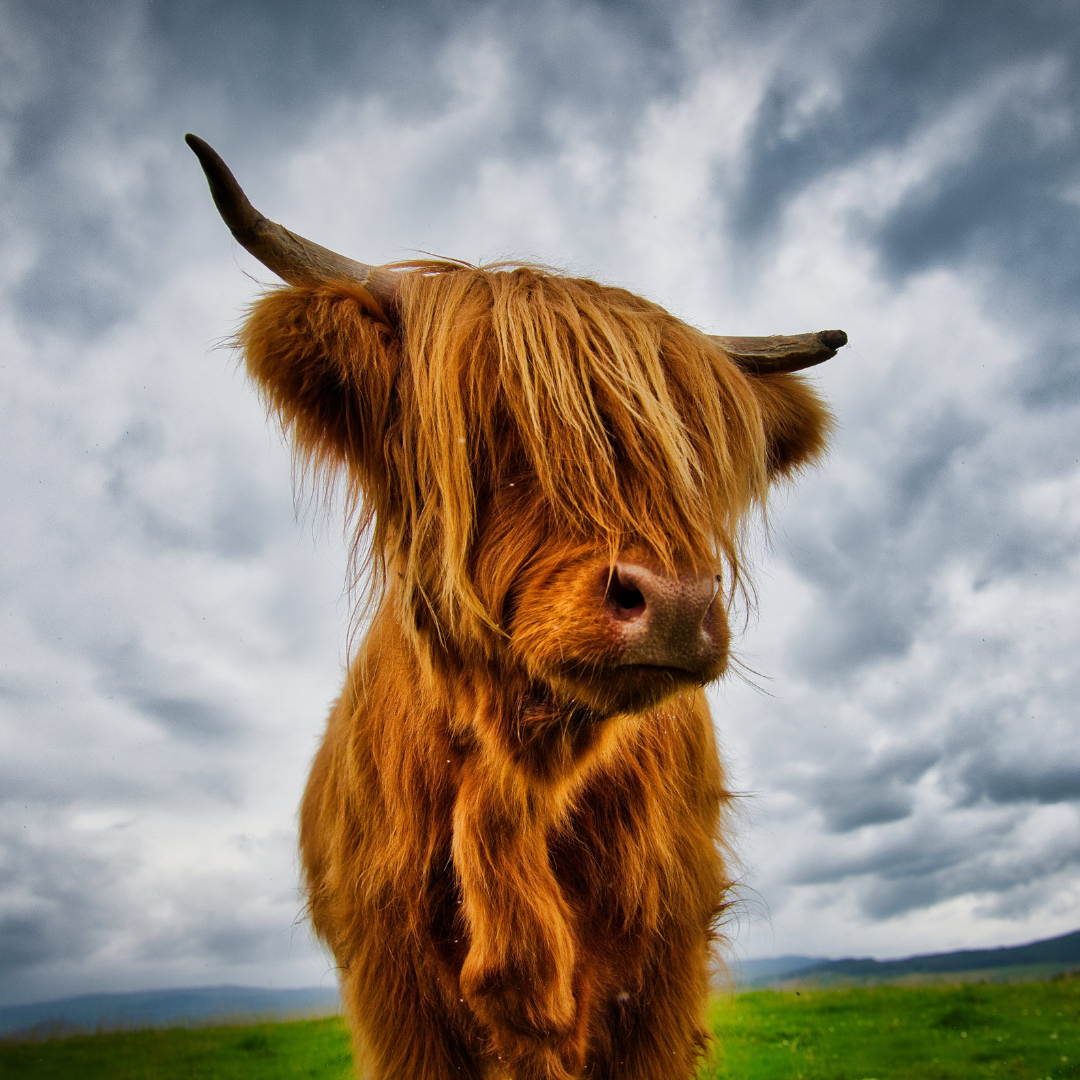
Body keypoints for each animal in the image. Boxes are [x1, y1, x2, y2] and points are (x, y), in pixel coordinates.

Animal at [187, 135, 842, 1080]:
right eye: (486, 431)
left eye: (693, 460)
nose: (674, 604)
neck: (520, 786)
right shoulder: (394, 995)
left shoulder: (663, 979)